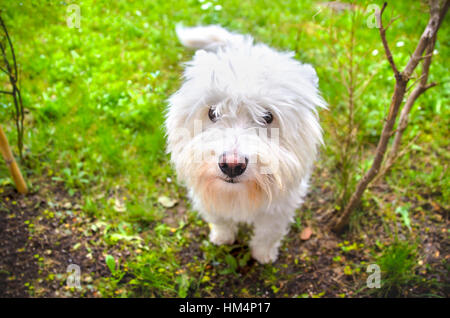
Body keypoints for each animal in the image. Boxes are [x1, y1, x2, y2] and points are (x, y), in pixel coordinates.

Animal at [164, 24, 324, 264]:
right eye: (212, 112)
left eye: (267, 116)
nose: (232, 165)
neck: (238, 193)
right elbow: (220, 220)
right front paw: (223, 238)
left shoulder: (280, 208)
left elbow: (268, 234)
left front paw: (263, 255)